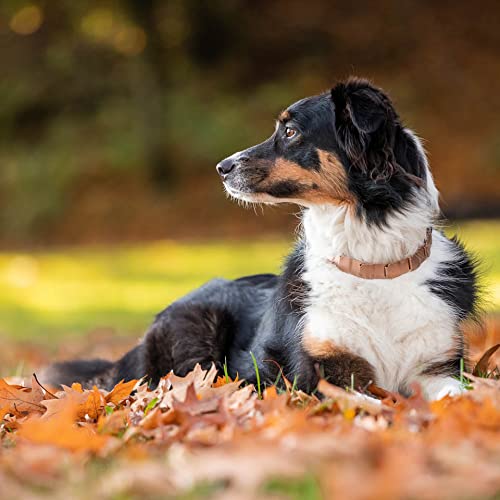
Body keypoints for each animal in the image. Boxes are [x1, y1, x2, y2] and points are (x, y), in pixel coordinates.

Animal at [44, 78, 480, 398]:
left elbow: (461, 396)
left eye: (289, 131)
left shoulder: (437, 366)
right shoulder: (321, 372)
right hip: (195, 334)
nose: (221, 167)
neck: (373, 264)